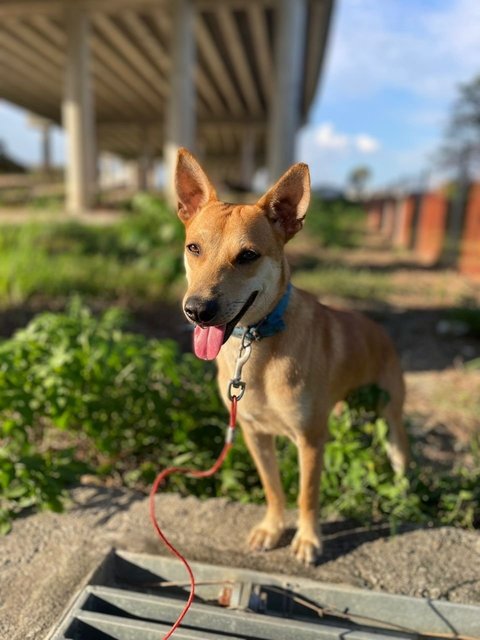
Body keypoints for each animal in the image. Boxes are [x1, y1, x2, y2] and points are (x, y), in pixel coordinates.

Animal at [176, 149, 408, 564]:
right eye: (194, 248)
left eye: (248, 255)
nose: (198, 310)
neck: (257, 343)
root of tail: (379, 329)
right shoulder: (254, 433)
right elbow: (273, 488)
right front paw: (272, 528)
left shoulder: (311, 439)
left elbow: (307, 496)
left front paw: (308, 539)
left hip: (391, 415)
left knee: (399, 455)